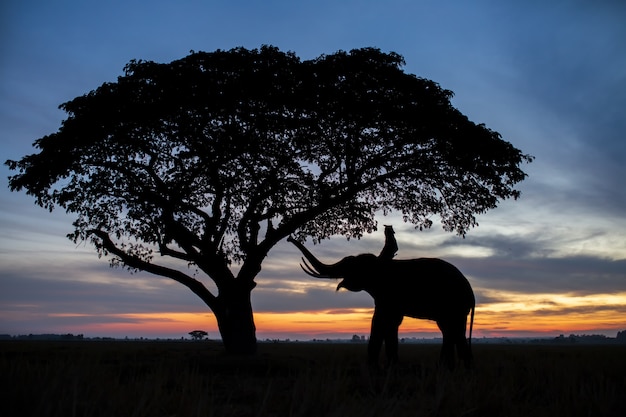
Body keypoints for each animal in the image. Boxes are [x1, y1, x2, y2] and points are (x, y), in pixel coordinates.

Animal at [286, 236, 472, 368]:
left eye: (350, 266)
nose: (288, 238)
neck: (378, 264)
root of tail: (471, 293)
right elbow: (388, 323)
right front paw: (390, 367)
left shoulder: (389, 295)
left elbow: (382, 321)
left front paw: (377, 368)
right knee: (450, 331)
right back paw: (449, 367)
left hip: (454, 304)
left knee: (454, 331)